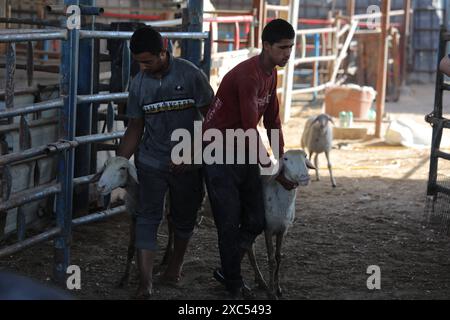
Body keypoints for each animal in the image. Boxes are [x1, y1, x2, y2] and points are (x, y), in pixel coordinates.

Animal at [248, 150, 314, 300]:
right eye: (286, 159)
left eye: (305, 156)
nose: (305, 177)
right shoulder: (268, 229)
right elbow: (271, 259)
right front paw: (271, 293)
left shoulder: (282, 229)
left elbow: (278, 257)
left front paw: (278, 288)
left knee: (249, 249)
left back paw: (259, 280)